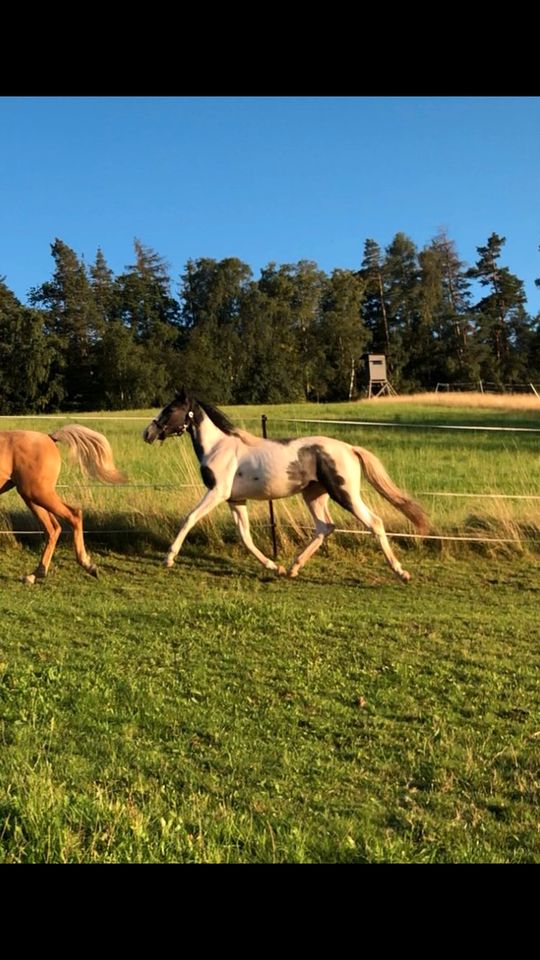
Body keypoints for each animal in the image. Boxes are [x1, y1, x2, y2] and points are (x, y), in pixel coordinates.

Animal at [0, 428, 124, 584]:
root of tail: (49, 437)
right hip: (33, 497)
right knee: (53, 529)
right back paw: (35, 574)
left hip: (37, 493)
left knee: (73, 515)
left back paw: (88, 565)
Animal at [144, 386, 430, 580]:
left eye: (170, 409)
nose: (147, 433)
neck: (218, 447)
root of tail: (350, 448)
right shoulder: (235, 498)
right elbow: (245, 536)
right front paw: (275, 566)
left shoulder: (217, 492)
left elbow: (190, 518)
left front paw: (168, 558)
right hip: (314, 495)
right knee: (325, 527)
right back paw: (293, 568)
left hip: (344, 493)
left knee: (374, 523)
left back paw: (401, 572)